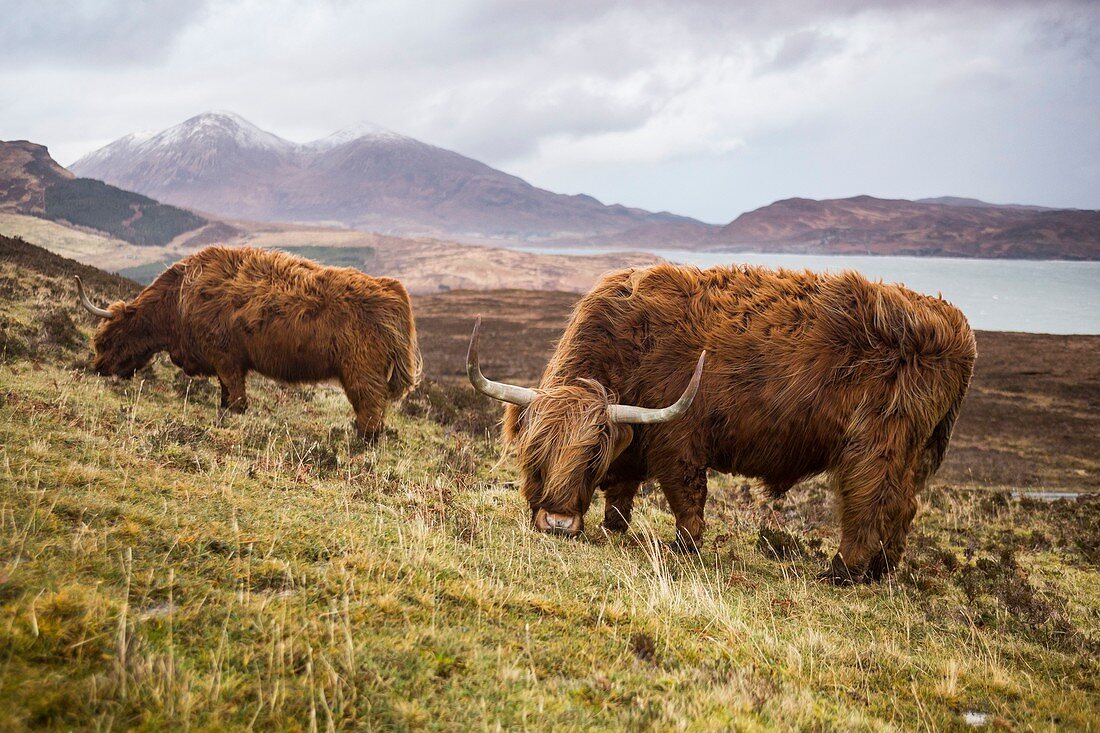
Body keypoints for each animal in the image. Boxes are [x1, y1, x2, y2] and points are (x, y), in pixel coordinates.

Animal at [76, 245, 420, 440]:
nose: (97, 368)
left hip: (361, 372)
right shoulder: (224, 362)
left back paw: (359, 442)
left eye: (106, 340)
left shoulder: (226, 357)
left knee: (371, 410)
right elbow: (226, 396)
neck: (179, 300)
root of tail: (393, 290)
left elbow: (237, 400)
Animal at [468, 263, 976, 581]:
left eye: (590, 456)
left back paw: (841, 573)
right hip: (912, 449)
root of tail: (953, 320)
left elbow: (685, 497)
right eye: (533, 451)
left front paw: (684, 546)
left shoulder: (677, 442)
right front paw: (614, 525)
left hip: (875, 442)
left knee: (868, 501)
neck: (630, 346)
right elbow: (624, 489)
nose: (557, 524)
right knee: (904, 505)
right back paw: (880, 571)